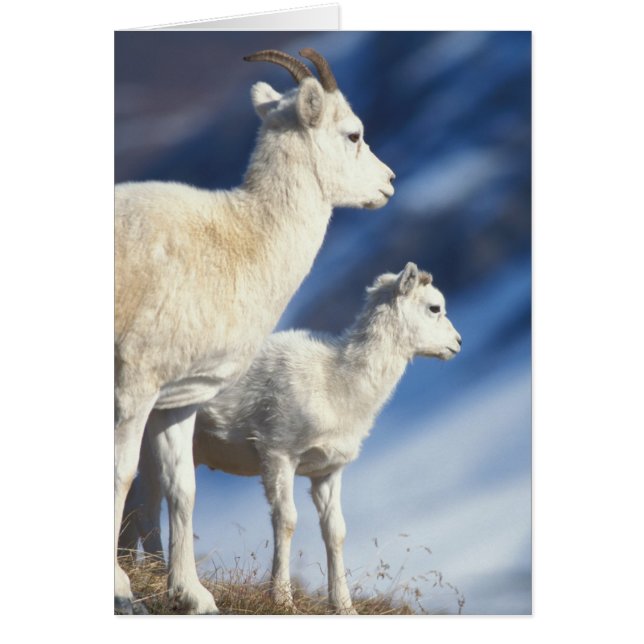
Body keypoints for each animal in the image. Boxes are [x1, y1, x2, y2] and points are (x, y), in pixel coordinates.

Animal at [114, 48, 395, 615]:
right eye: (353, 133)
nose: (389, 182)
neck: (240, 240)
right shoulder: (134, 386)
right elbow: (119, 473)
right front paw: (119, 588)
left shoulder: (176, 400)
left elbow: (182, 489)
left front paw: (193, 596)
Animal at [123, 263, 462, 614]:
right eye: (434, 307)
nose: (458, 343)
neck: (337, 381)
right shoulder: (279, 455)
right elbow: (286, 520)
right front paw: (282, 598)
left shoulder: (327, 472)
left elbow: (335, 531)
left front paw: (344, 606)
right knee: (147, 505)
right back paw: (159, 574)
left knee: (139, 500)